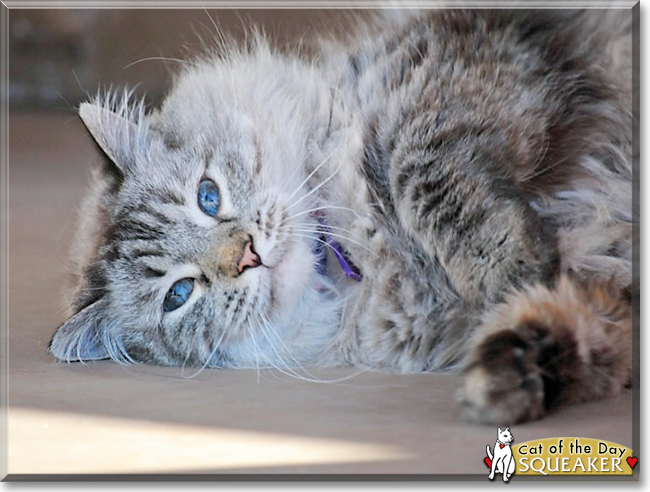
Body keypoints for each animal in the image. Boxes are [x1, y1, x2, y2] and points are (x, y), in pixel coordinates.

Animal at [46, 7, 632, 424]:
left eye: (207, 197)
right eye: (179, 294)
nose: (247, 256)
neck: (367, 252)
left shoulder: (460, 58)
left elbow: (418, 170)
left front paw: (509, 268)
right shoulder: (608, 291)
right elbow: (566, 328)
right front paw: (501, 378)